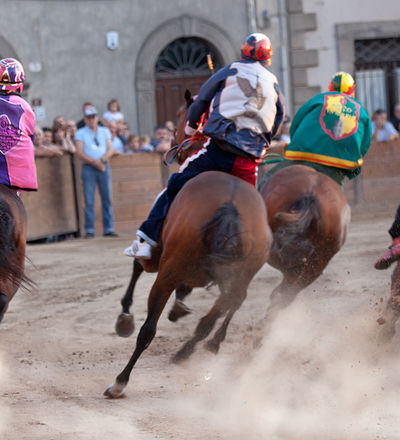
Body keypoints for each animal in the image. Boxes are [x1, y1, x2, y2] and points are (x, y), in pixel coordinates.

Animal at [104, 170, 272, 398]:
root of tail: (231, 203)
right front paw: (180, 305)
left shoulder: (160, 261)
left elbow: (138, 265)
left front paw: (125, 316)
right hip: (241, 273)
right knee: (225, 306)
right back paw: (192, 349)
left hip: (167, 274)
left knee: (148, 330)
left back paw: (119, 382)